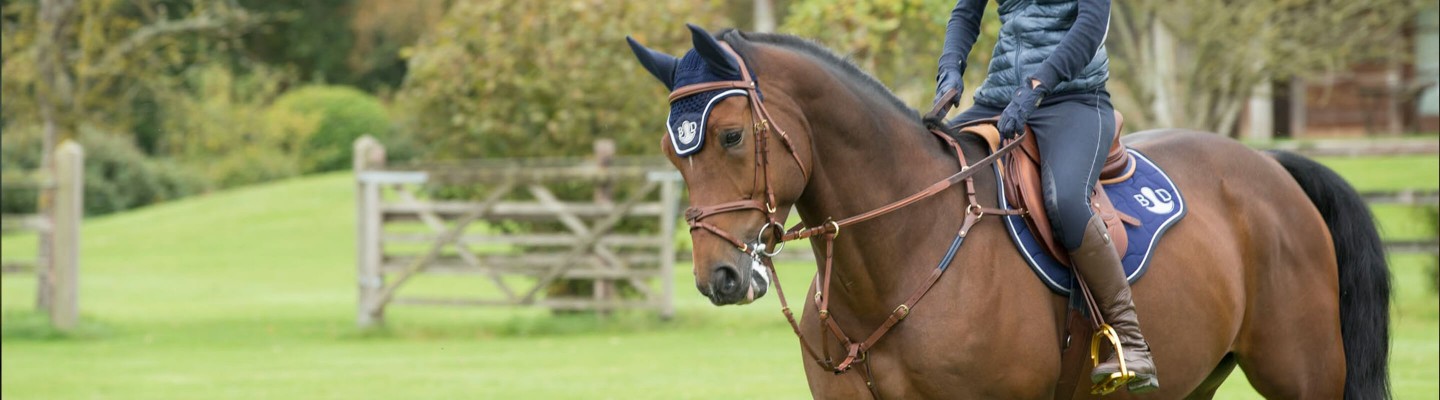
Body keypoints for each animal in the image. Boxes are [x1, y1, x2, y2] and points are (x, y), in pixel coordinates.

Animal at [624, 26, 1388, 397]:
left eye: (730, 135)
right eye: (671, 150)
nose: (720, 278)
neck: (900, 253)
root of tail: (1272, 167)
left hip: (1304, 377)